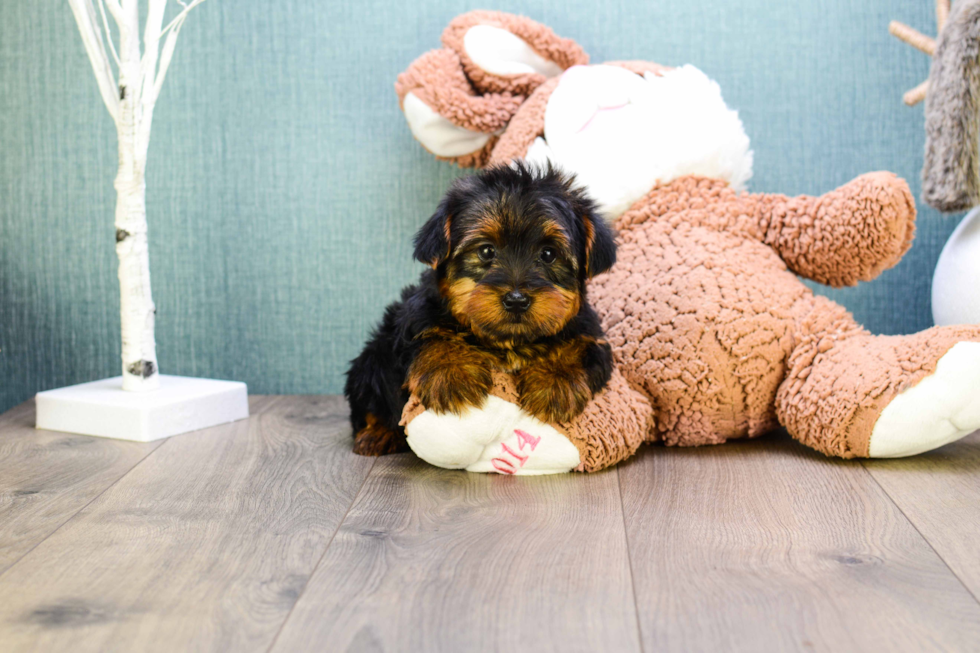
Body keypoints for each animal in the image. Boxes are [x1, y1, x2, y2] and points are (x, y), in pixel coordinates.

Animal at [346, 162, 620, 456]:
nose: (516, 299)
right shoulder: (415, 318)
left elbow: (577, 346)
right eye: (487, 251)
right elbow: (433, 332)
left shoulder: (590, 332)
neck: (509, 341)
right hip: (375, 354)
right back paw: (379, 432)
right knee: (374, 392)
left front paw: (555, 380)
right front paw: (451, 371)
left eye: (548, 254)